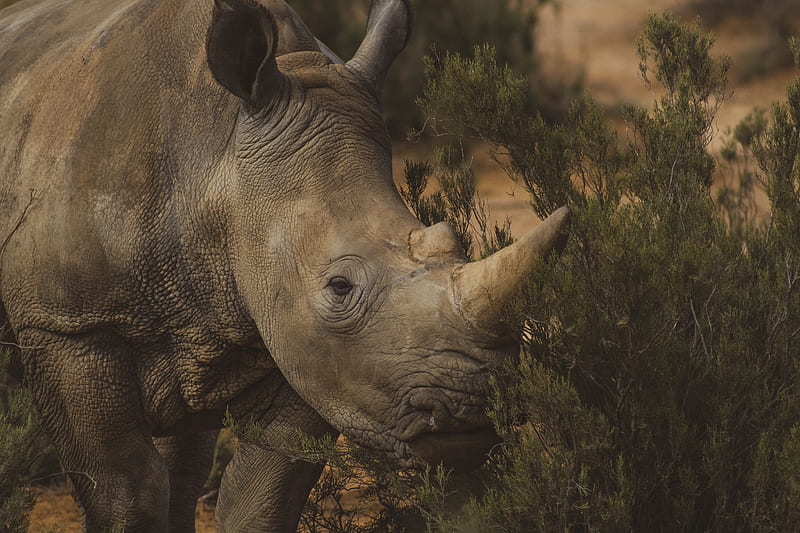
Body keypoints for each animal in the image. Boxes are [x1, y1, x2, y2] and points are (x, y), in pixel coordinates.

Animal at [0, 0, 568, 528]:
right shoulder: (65, 323)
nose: (474, 406)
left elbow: (265, 495)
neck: (214, 155)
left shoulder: (297, 337)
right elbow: (125, 491)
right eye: (339, 287)